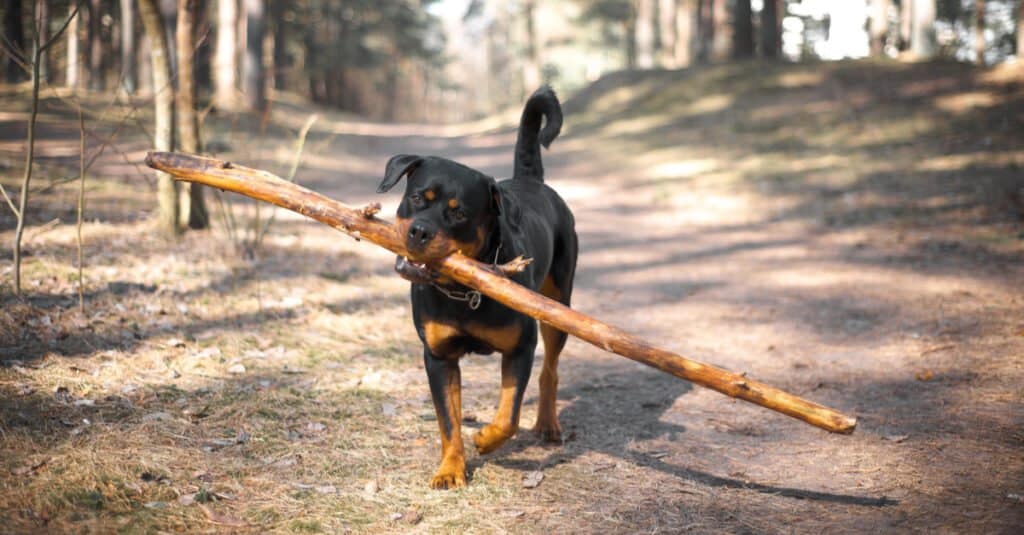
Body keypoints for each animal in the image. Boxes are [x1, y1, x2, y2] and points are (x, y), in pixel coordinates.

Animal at [380, 86, 581, 487]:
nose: (419, 231)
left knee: (550, 370)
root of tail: (534, 182)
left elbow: (508, 416)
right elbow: (449, 421)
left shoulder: (520, 348)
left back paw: (548, 423)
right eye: (417, 197)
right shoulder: (438, 357)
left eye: (458, 212)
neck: (461, 290)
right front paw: (450, 469)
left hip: (557, 306)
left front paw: (486, 439)